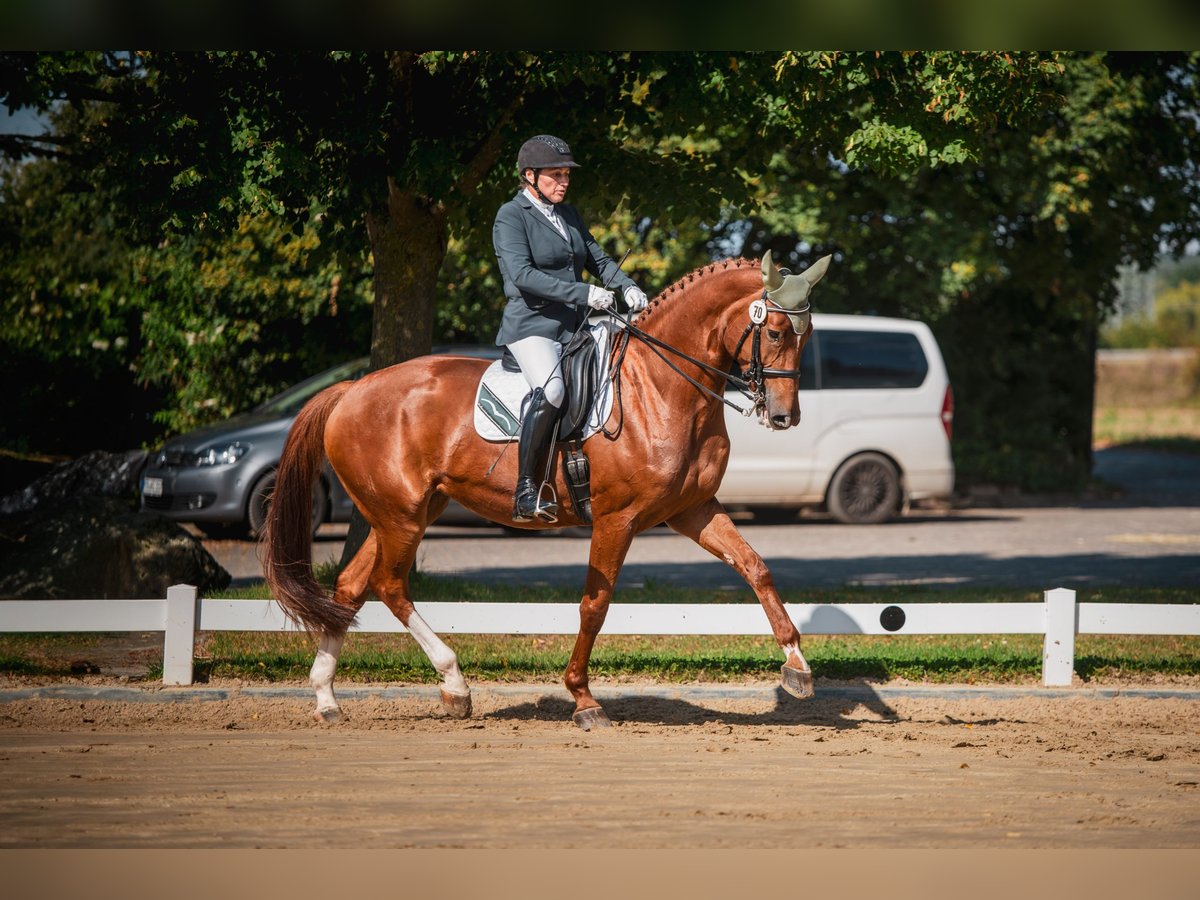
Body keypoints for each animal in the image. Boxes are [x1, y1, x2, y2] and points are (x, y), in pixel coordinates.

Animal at [260, 250, 825, 729]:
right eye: (777, 331)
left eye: (809, 332)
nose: (784, 417)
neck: (662, 389)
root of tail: (351, 389)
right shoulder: (617, 519)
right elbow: (595, 605)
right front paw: (584, 699)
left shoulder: (694, 509)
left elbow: (755, 567)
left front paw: (796, 666)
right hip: (400, 515)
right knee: (389, 586)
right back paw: (455, 685)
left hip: (403, 512)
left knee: (351, 586)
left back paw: (327, 698)